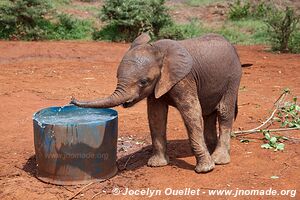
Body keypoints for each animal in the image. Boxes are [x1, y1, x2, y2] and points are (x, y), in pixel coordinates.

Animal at [72, 33, 244, 173]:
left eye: (143, 82)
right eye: (116, 76)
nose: (72, 99)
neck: (157, 50)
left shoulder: (184, 79)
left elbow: (191, 112)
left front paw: (205, 169)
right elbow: (156, 115)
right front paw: (156, 164)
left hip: (233, 78)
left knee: (224, 112)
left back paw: (219, 159)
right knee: (209, 113)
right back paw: (211, 147)